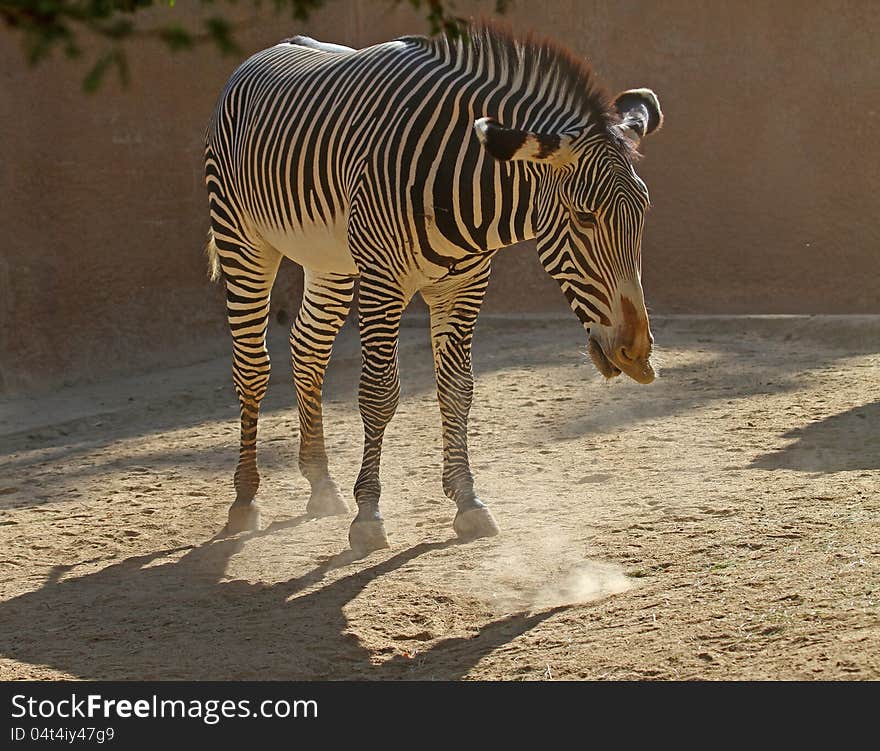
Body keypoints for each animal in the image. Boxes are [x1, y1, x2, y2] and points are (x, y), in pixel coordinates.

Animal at [205, 23, 660, 556]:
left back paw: (321, 485)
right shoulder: (383, 279)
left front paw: (467, 501)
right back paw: (245, 499)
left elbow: (458, 388)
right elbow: (380, 394)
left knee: (308, 349)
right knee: (252, 366)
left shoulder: (464, 283)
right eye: (585, 216)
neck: (462, 183)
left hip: (329, 260)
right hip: (242, 237)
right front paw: (368, 514)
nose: (638, 355)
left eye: (644, 210)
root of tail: (274, 48)